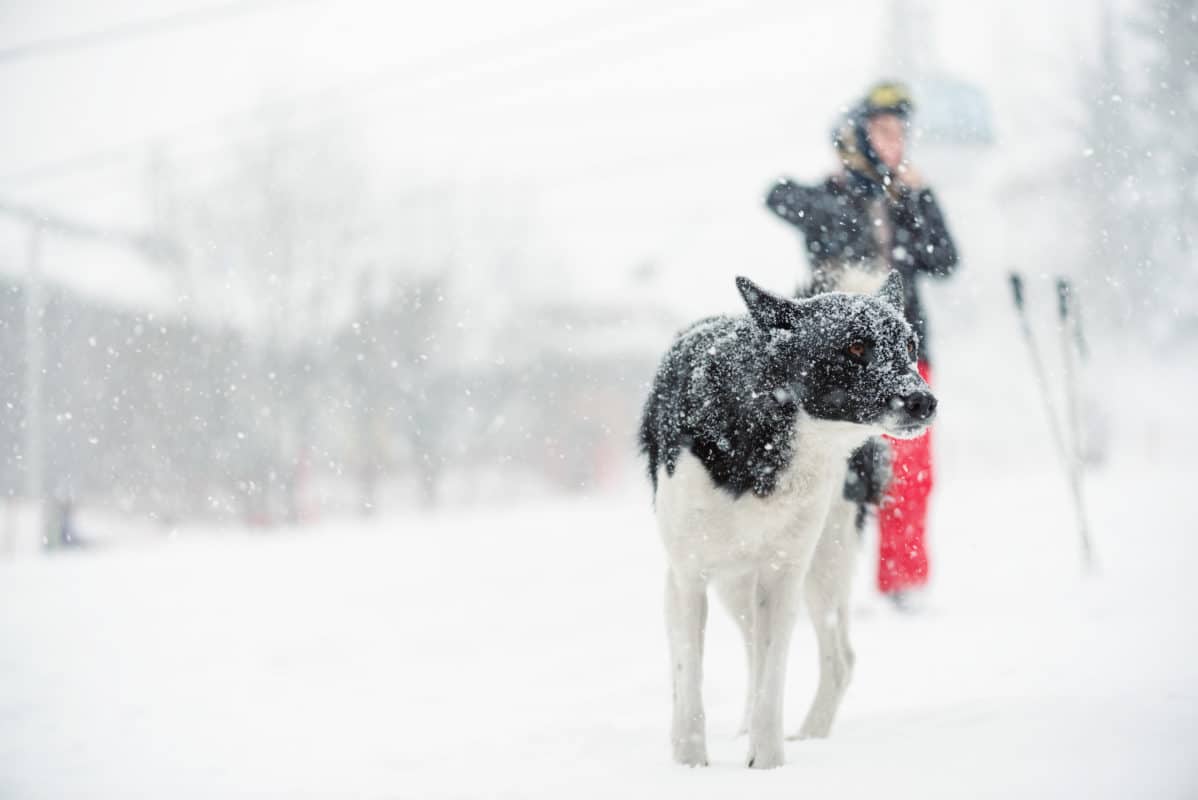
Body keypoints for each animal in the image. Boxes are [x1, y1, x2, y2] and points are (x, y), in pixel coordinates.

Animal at [637, 270, 934, 766]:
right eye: (856, 347)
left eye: (910, 346)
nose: (924, 401)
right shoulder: (688, 577)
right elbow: (690, 678)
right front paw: (691, 765)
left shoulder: (782, 577)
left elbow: (771, 682)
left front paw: (769, 765)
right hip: (735, 583)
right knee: (749, 651)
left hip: (823, 564)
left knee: (838, 659)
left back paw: (809, 736)